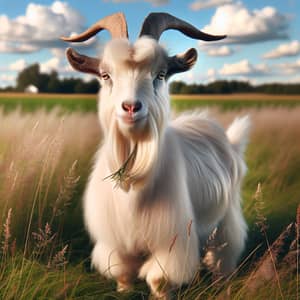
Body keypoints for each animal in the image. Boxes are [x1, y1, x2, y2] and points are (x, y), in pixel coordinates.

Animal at [62, 12, 250, 298]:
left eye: (160, 75)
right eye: (106, 75)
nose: (131, 107)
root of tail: (230, 140)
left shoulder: (171, 244)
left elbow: (159, 280)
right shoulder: (116, 244)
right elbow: (123, 274)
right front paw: (124, 291)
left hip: (226, 217)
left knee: (224, 253)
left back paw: (223, 283)